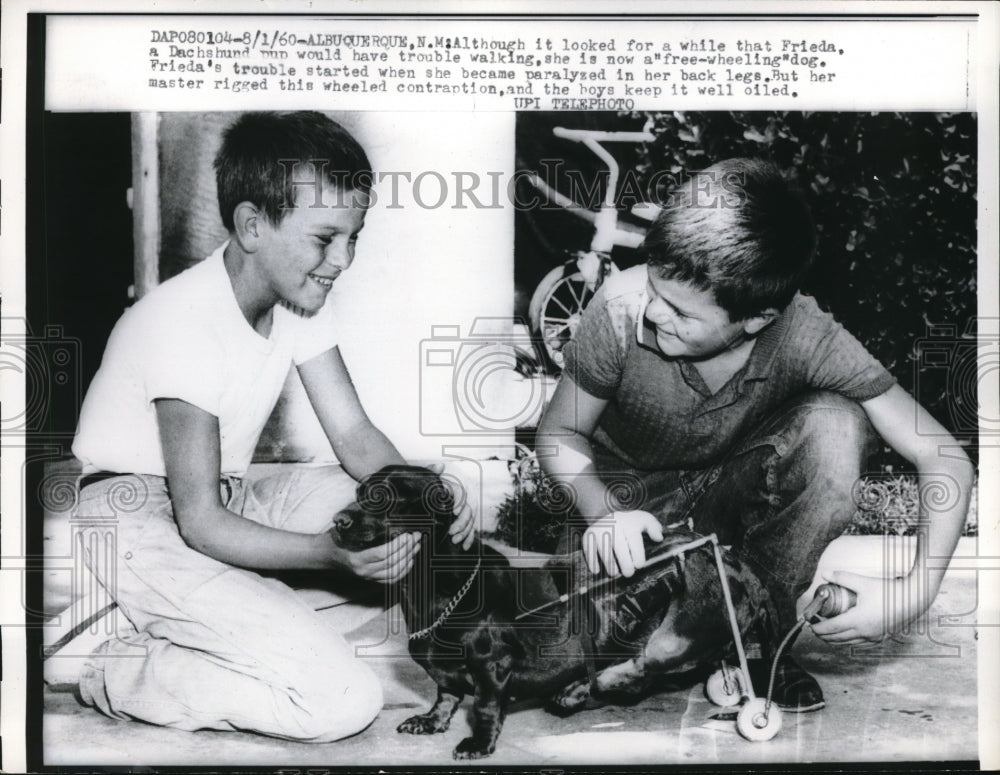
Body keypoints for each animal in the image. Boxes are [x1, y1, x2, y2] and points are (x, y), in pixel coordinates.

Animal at [332, 466, 776, 756]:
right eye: (358, 491)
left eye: (386, 496)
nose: (337, 521)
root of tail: (737, 563)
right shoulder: (447, 673)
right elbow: (445, 694)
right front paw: (430, 720)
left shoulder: (491, 666)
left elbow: (486, 705)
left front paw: (478, 743)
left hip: (679, 633)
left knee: (641, 667)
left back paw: (584, 685)